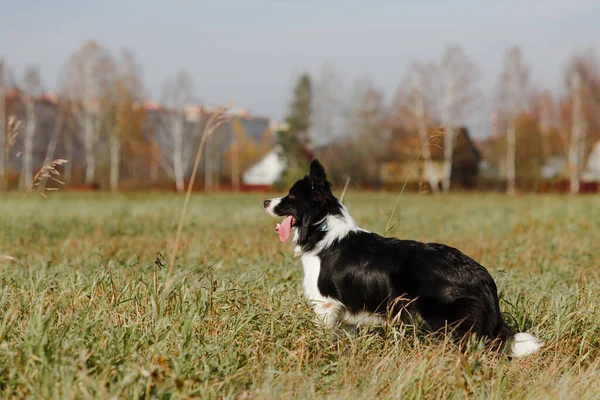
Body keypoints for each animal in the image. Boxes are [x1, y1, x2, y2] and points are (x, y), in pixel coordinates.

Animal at [264, 158, 544, 358]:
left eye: (291, 195)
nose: (266, 201)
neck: (321, 228)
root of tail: (481, 274)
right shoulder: (345, 311)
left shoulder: (325, 306)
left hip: (451, 323)